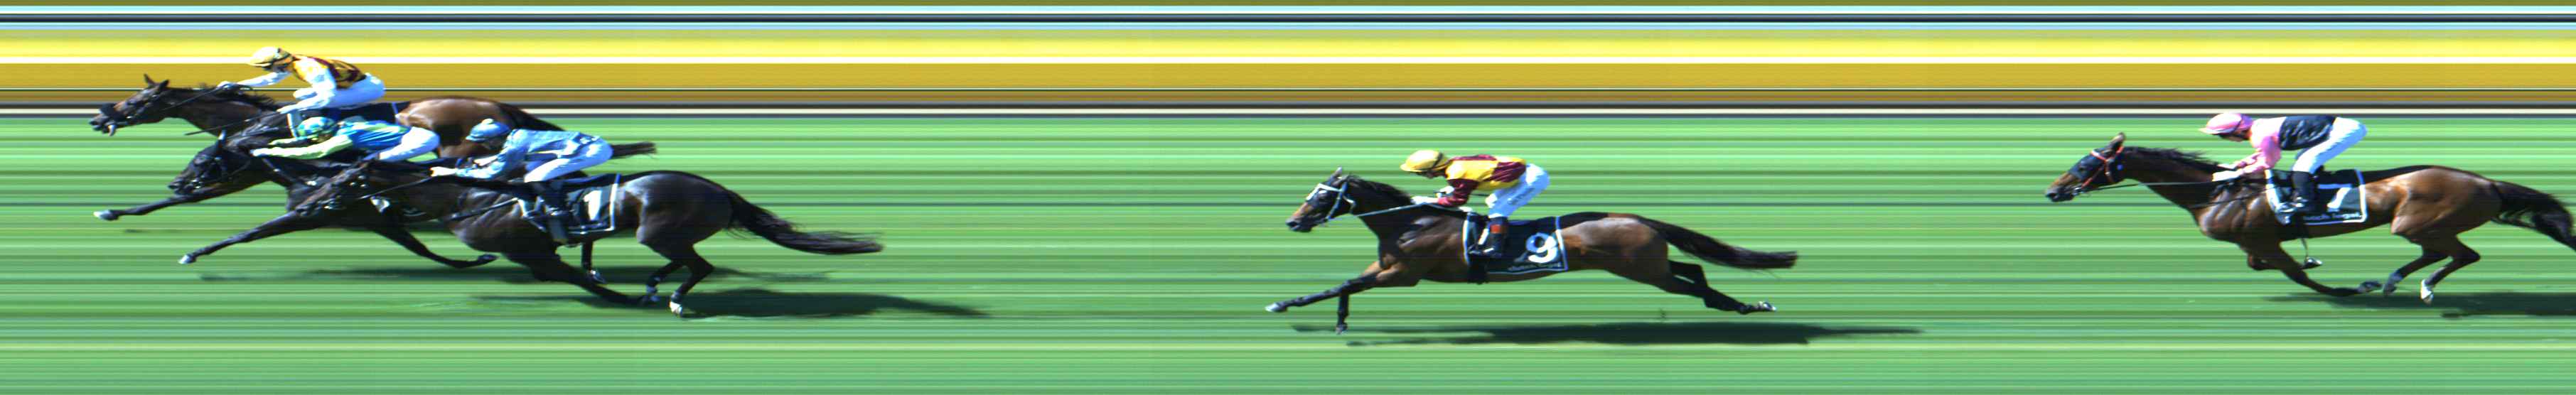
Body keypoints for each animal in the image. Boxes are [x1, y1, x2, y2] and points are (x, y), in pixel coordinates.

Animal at [1266, 169, 1794, 332]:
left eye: (1321, 197)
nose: (1292, 222)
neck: (1410, 222)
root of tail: (1639, 217)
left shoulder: (1405, 274)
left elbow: (1342, 283)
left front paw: (1284, 303)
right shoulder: (1387, 265)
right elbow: (1345, 285)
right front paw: (1338, 320)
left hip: (1643, 270)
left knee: (1692, 283)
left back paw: (1744, 306)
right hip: (1649, 262)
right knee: (1693, 270)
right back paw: (1741, 304)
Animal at [2043, 133, 2576, 301]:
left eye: (2086, 166)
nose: (2053, 191)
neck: (2215, 192)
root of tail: (2486, 181)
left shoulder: (2259, 240)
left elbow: (2295, 274)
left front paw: (2342, 288)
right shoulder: (2256, 245)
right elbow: (2271, 267)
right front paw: (2338, 278)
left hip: (2417, 222)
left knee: (2462, 255)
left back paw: (2412, 286)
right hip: (2424, 226)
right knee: (2445, 254)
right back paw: (2391, 281)